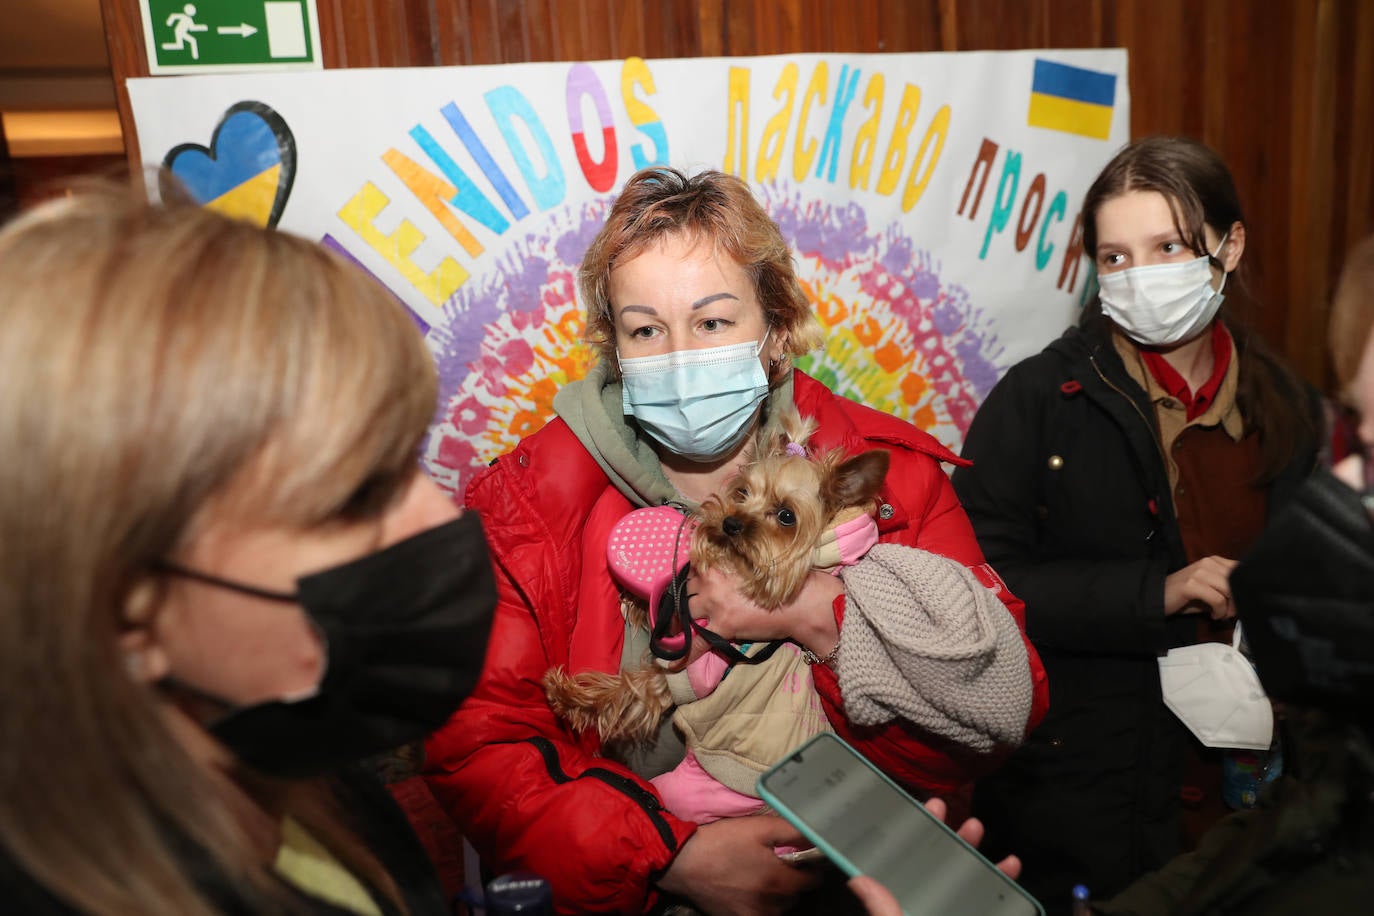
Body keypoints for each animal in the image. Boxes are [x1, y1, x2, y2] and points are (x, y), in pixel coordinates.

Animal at [541, 409, 895, 752]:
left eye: (786, 516)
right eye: (743, 492)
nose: (730, 523)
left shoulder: (698, 657)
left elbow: (638, 689)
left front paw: (570, 698)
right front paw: (637, 599)